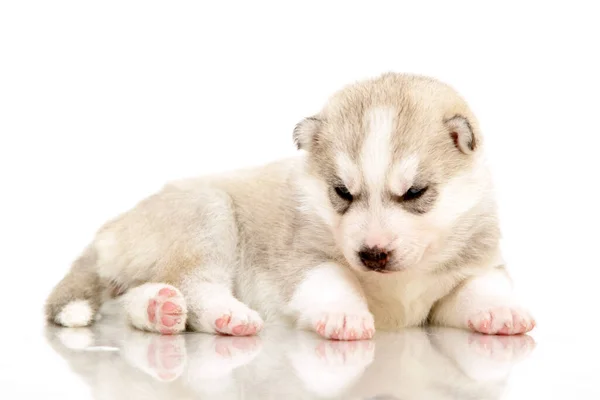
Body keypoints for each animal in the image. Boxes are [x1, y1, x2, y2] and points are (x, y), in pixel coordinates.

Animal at [45, 72, 536, 340]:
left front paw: (503, 311)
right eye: (342, 192)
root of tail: (108, 230)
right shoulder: (302, 259)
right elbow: (333, 278)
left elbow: (477, 288)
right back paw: (225, 314)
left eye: (415, 192)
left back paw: (158, 310)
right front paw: (344, 314)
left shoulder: (471, 269)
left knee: (141, 296)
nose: (373, 254)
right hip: (208, 215)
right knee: (195, 283)